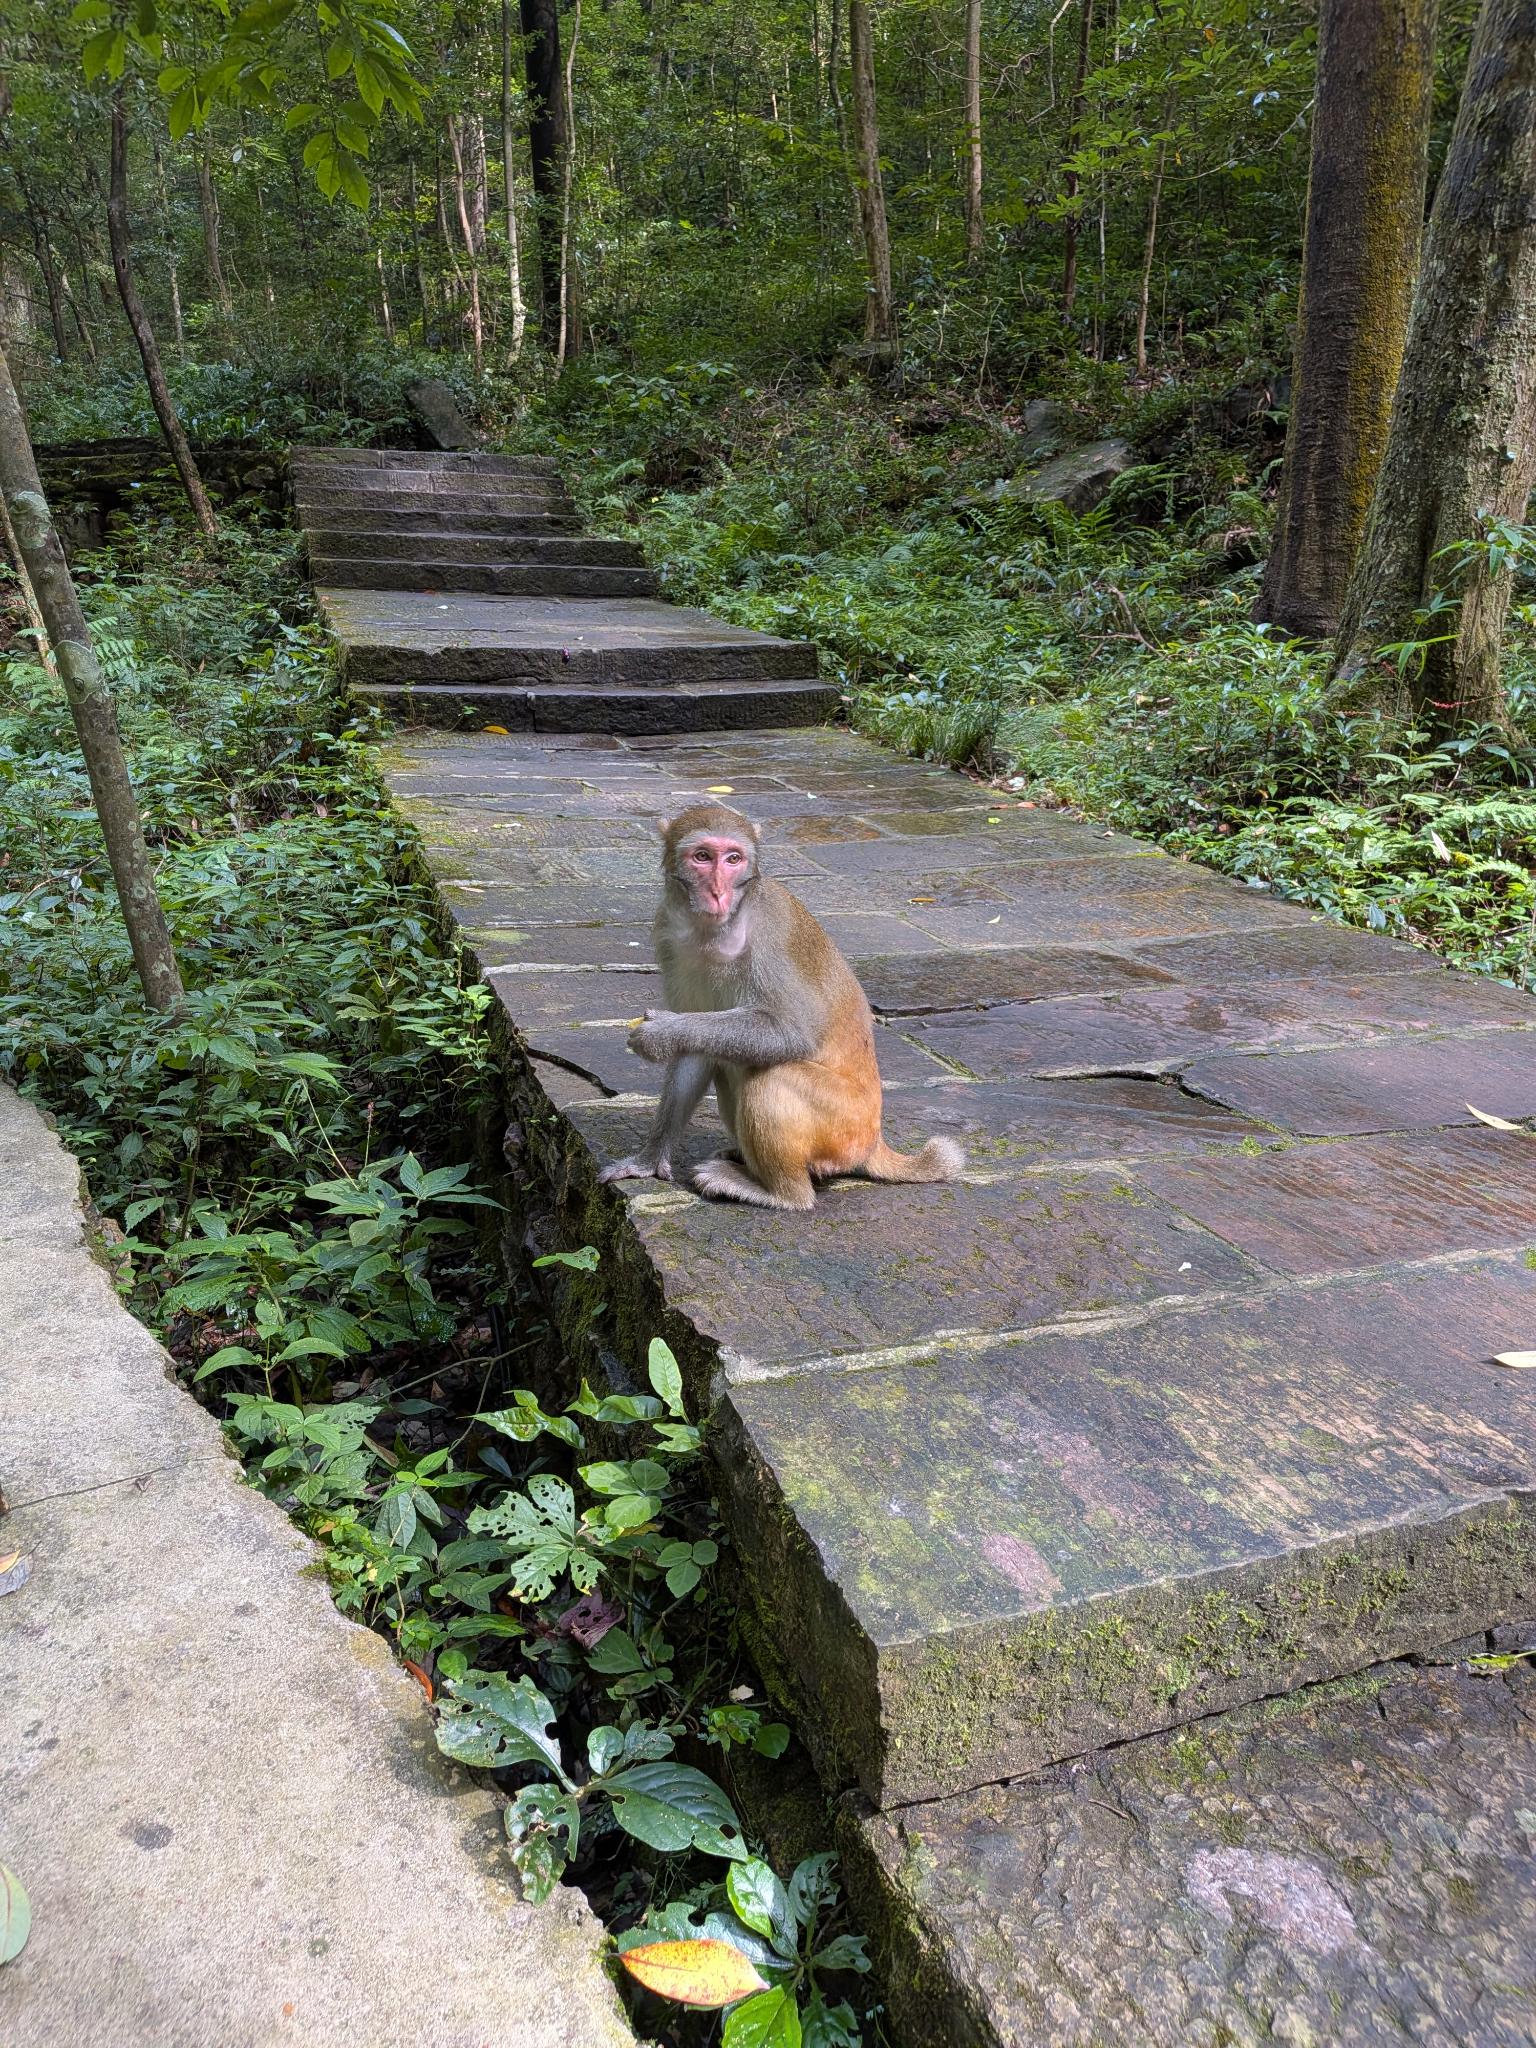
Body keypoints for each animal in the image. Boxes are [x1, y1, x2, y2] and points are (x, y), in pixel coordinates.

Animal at [597, 803, 964, 1211]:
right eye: (702, 857)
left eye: (734, 859)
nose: (718, 892)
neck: (716, 930)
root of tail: (873, 1140)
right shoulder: (668, 937)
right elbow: (693, 1052)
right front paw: (647, 1160)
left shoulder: (773, 935)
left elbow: (792, 1034)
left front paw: (661, 1032)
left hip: (843, 1128)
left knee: (769, 1075)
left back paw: (777, 1192)